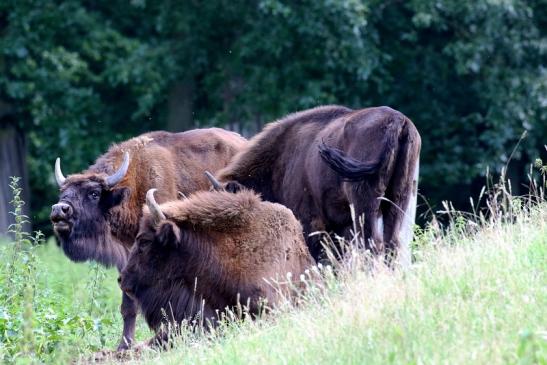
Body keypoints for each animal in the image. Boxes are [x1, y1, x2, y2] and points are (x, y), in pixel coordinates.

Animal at [50, 128, 247, 346]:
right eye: (63, 192)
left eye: (94, 193)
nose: (60, 209)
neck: (134, 185)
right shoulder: (128, 258)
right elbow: (128, 306)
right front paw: (124, 345)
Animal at [216, 105, 422, 264]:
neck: (282, 158)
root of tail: (398, 121)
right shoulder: (340, 224)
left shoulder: (309, 220)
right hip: (399, 200)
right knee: (391, 245)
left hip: (364, 204)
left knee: (373, 245)